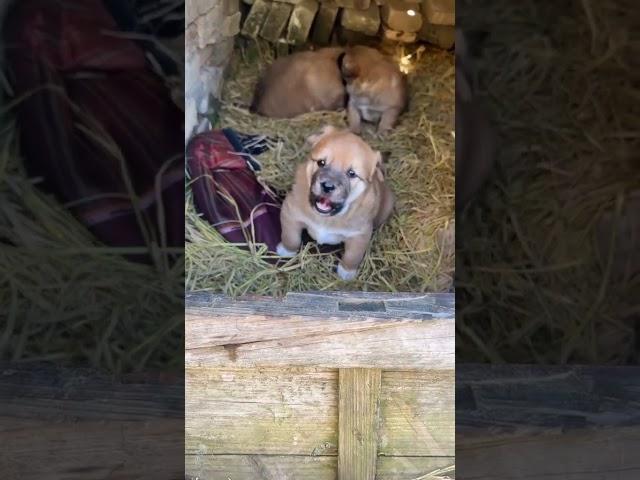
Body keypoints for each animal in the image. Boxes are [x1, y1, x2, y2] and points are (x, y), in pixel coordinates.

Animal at [278, 126, 396, 282]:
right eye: (321, 163)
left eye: (351, 173)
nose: (327, 186)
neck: (327, 218)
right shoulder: (291, 213)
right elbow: (290, 237)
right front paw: (286, 250)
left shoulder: (359, 235)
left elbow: (352, 257)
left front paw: (346, 272)